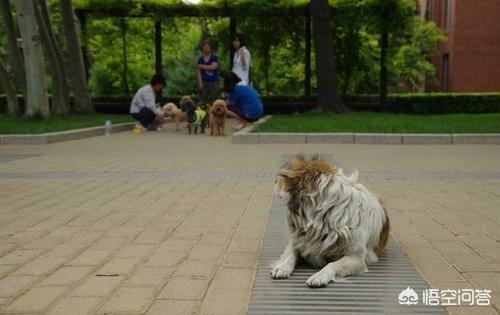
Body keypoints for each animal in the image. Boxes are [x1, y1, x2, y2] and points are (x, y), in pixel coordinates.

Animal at [270, 157, 390, 288]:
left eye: (284, 178)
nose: (275, 181)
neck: (322, 214)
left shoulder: (356, 258)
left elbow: (332, 264)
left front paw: (319, 276)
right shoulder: (298, 241)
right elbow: (290, 255)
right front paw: (282, 267)